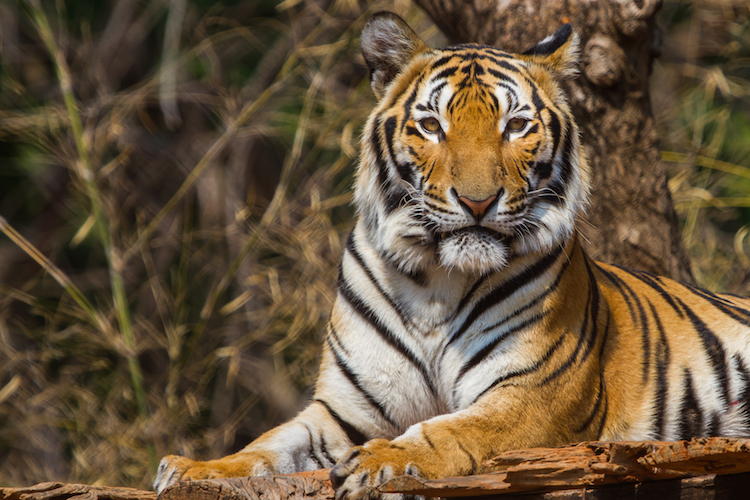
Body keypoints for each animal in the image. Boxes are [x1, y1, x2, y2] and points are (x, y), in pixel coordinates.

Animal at [153, 11, 750, 499]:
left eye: (516, 125)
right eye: (432, 126)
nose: (478, 201)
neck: (436, 282)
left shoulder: (534, 392)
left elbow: (452, 427)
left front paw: (380, 459)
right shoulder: (344, 410)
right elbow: (269, 444)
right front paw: (194, 469)